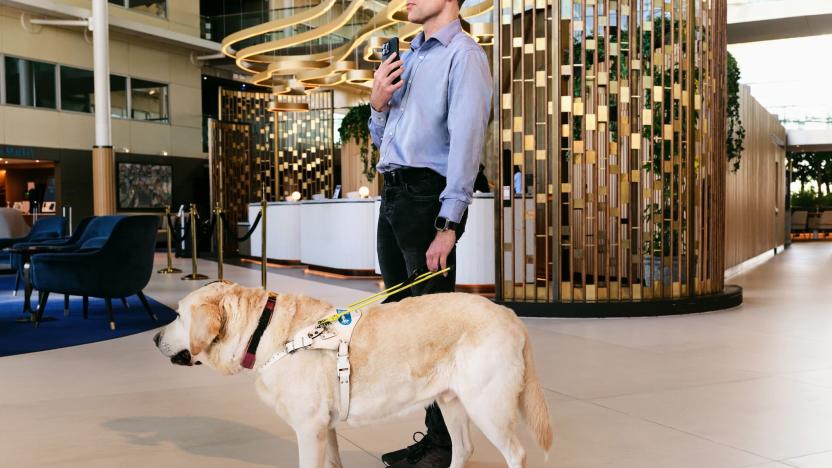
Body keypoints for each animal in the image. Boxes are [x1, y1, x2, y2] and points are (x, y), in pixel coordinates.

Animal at [154, 282, 552, 468]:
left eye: (178, 315)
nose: (155, 338)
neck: (264, 330)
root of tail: (509, 314)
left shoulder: (309, 429)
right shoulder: (324, 428)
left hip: (488, 406)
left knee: (516, 454)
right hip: (450, 400)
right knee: (464, 448)